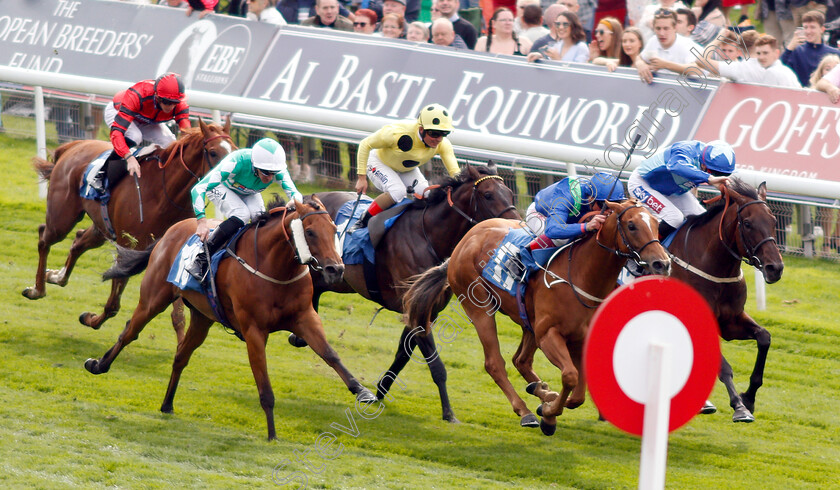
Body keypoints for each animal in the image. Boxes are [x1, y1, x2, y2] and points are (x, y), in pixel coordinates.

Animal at [23, 118, 233, 334]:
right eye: (213, 152)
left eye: (234, 149)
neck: (166, 194)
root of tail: (74, 145)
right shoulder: (129, 247)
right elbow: (113, 304)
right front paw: (92, 319)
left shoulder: (172, 251)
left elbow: (178, 315)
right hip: (62, 217)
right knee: (44, 237)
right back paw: (37, 289)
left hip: (101, 227)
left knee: (78, 241)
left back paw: (56, 276)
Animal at [86, 195, 374, 440]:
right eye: (311, 232)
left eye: (335, 230)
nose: (336, 269)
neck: (276, 268)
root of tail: (171, 230)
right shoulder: (254, 330)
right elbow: (264, 384)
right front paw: (272, 434)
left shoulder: (304, 318)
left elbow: (330, 354)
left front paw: (362, 391)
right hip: (154, 298)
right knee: (129, 332)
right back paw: (98, 364)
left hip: (202, 317)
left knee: (181, 355)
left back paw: (167, 404)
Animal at [292, 163, 520, 424]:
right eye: (488, 194)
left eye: (510, 194)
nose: (516, 226)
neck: (428, 235)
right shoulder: (418, 314)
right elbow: (436, 365)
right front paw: (449, 413)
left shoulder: (424, 310)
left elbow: (403, 354)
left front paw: (379, 392)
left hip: (332, 278)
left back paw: (299, 337)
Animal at [404, 201, 672, 434]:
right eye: (631, 225)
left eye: (656, 224)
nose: (662, 263)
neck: (581, 275)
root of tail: (464, 242)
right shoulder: (549, 334)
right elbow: (570, 376)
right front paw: (549, 415)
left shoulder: (578, 339)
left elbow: (578, 394)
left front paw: (550, 404)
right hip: (479, 308)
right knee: (495, 363)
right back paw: (526, 411)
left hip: (528, 321)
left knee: (521, 360)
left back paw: (541, 390)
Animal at [668, 178, 784, 424]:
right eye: (747, 223)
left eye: (773, 220)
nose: (775, 268)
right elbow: (722, 366)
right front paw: (739, 407)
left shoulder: (731, 320)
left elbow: (764, 337)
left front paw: (749, 398)